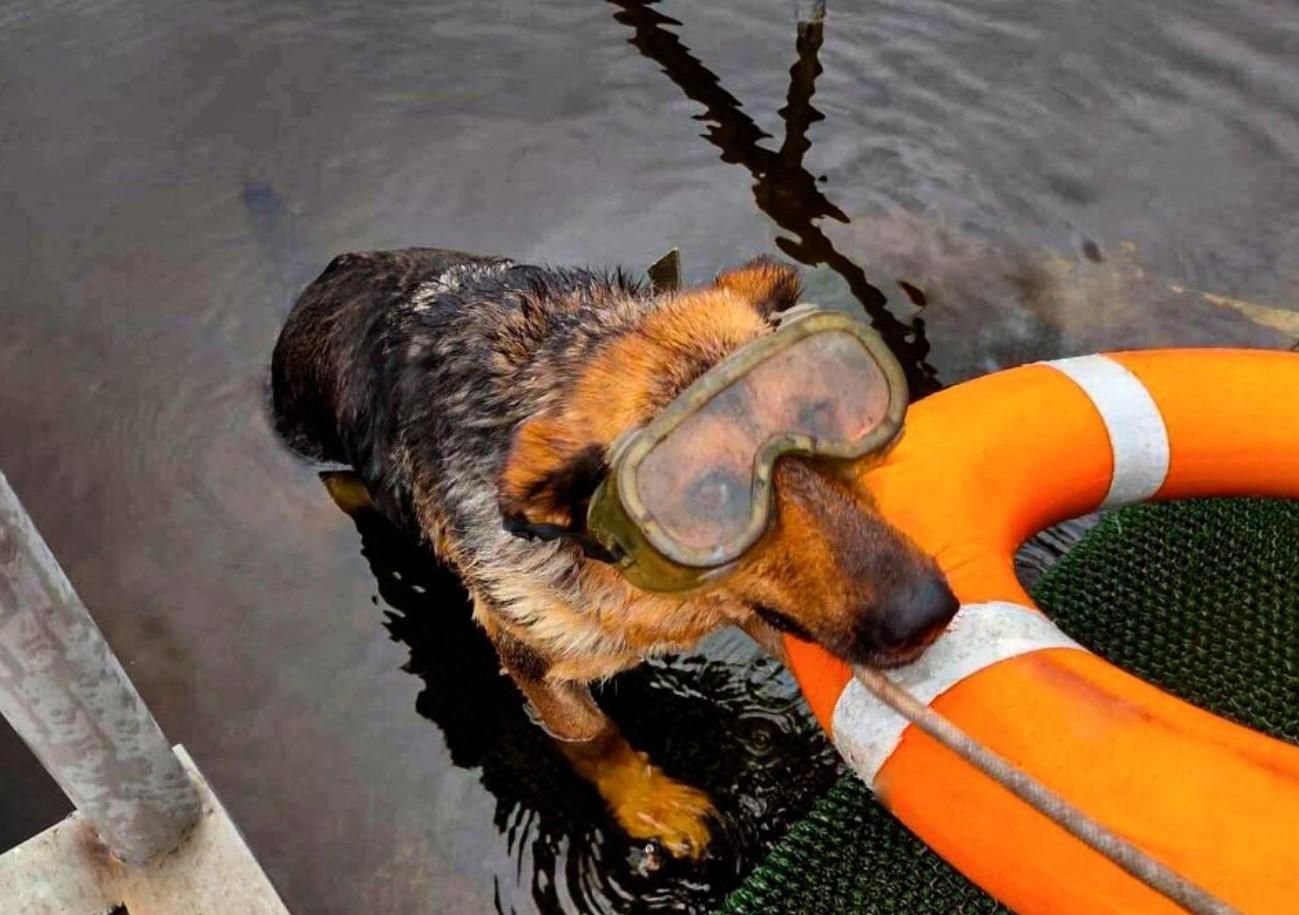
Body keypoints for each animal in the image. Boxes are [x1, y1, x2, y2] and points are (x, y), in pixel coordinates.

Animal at [268, 248, 961, 857]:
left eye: (824, 411)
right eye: (710, 495)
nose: (929, 613)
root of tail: (332, 275)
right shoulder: (524, 640)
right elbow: (593, 736)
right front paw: (649, 805)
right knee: (342, 487)